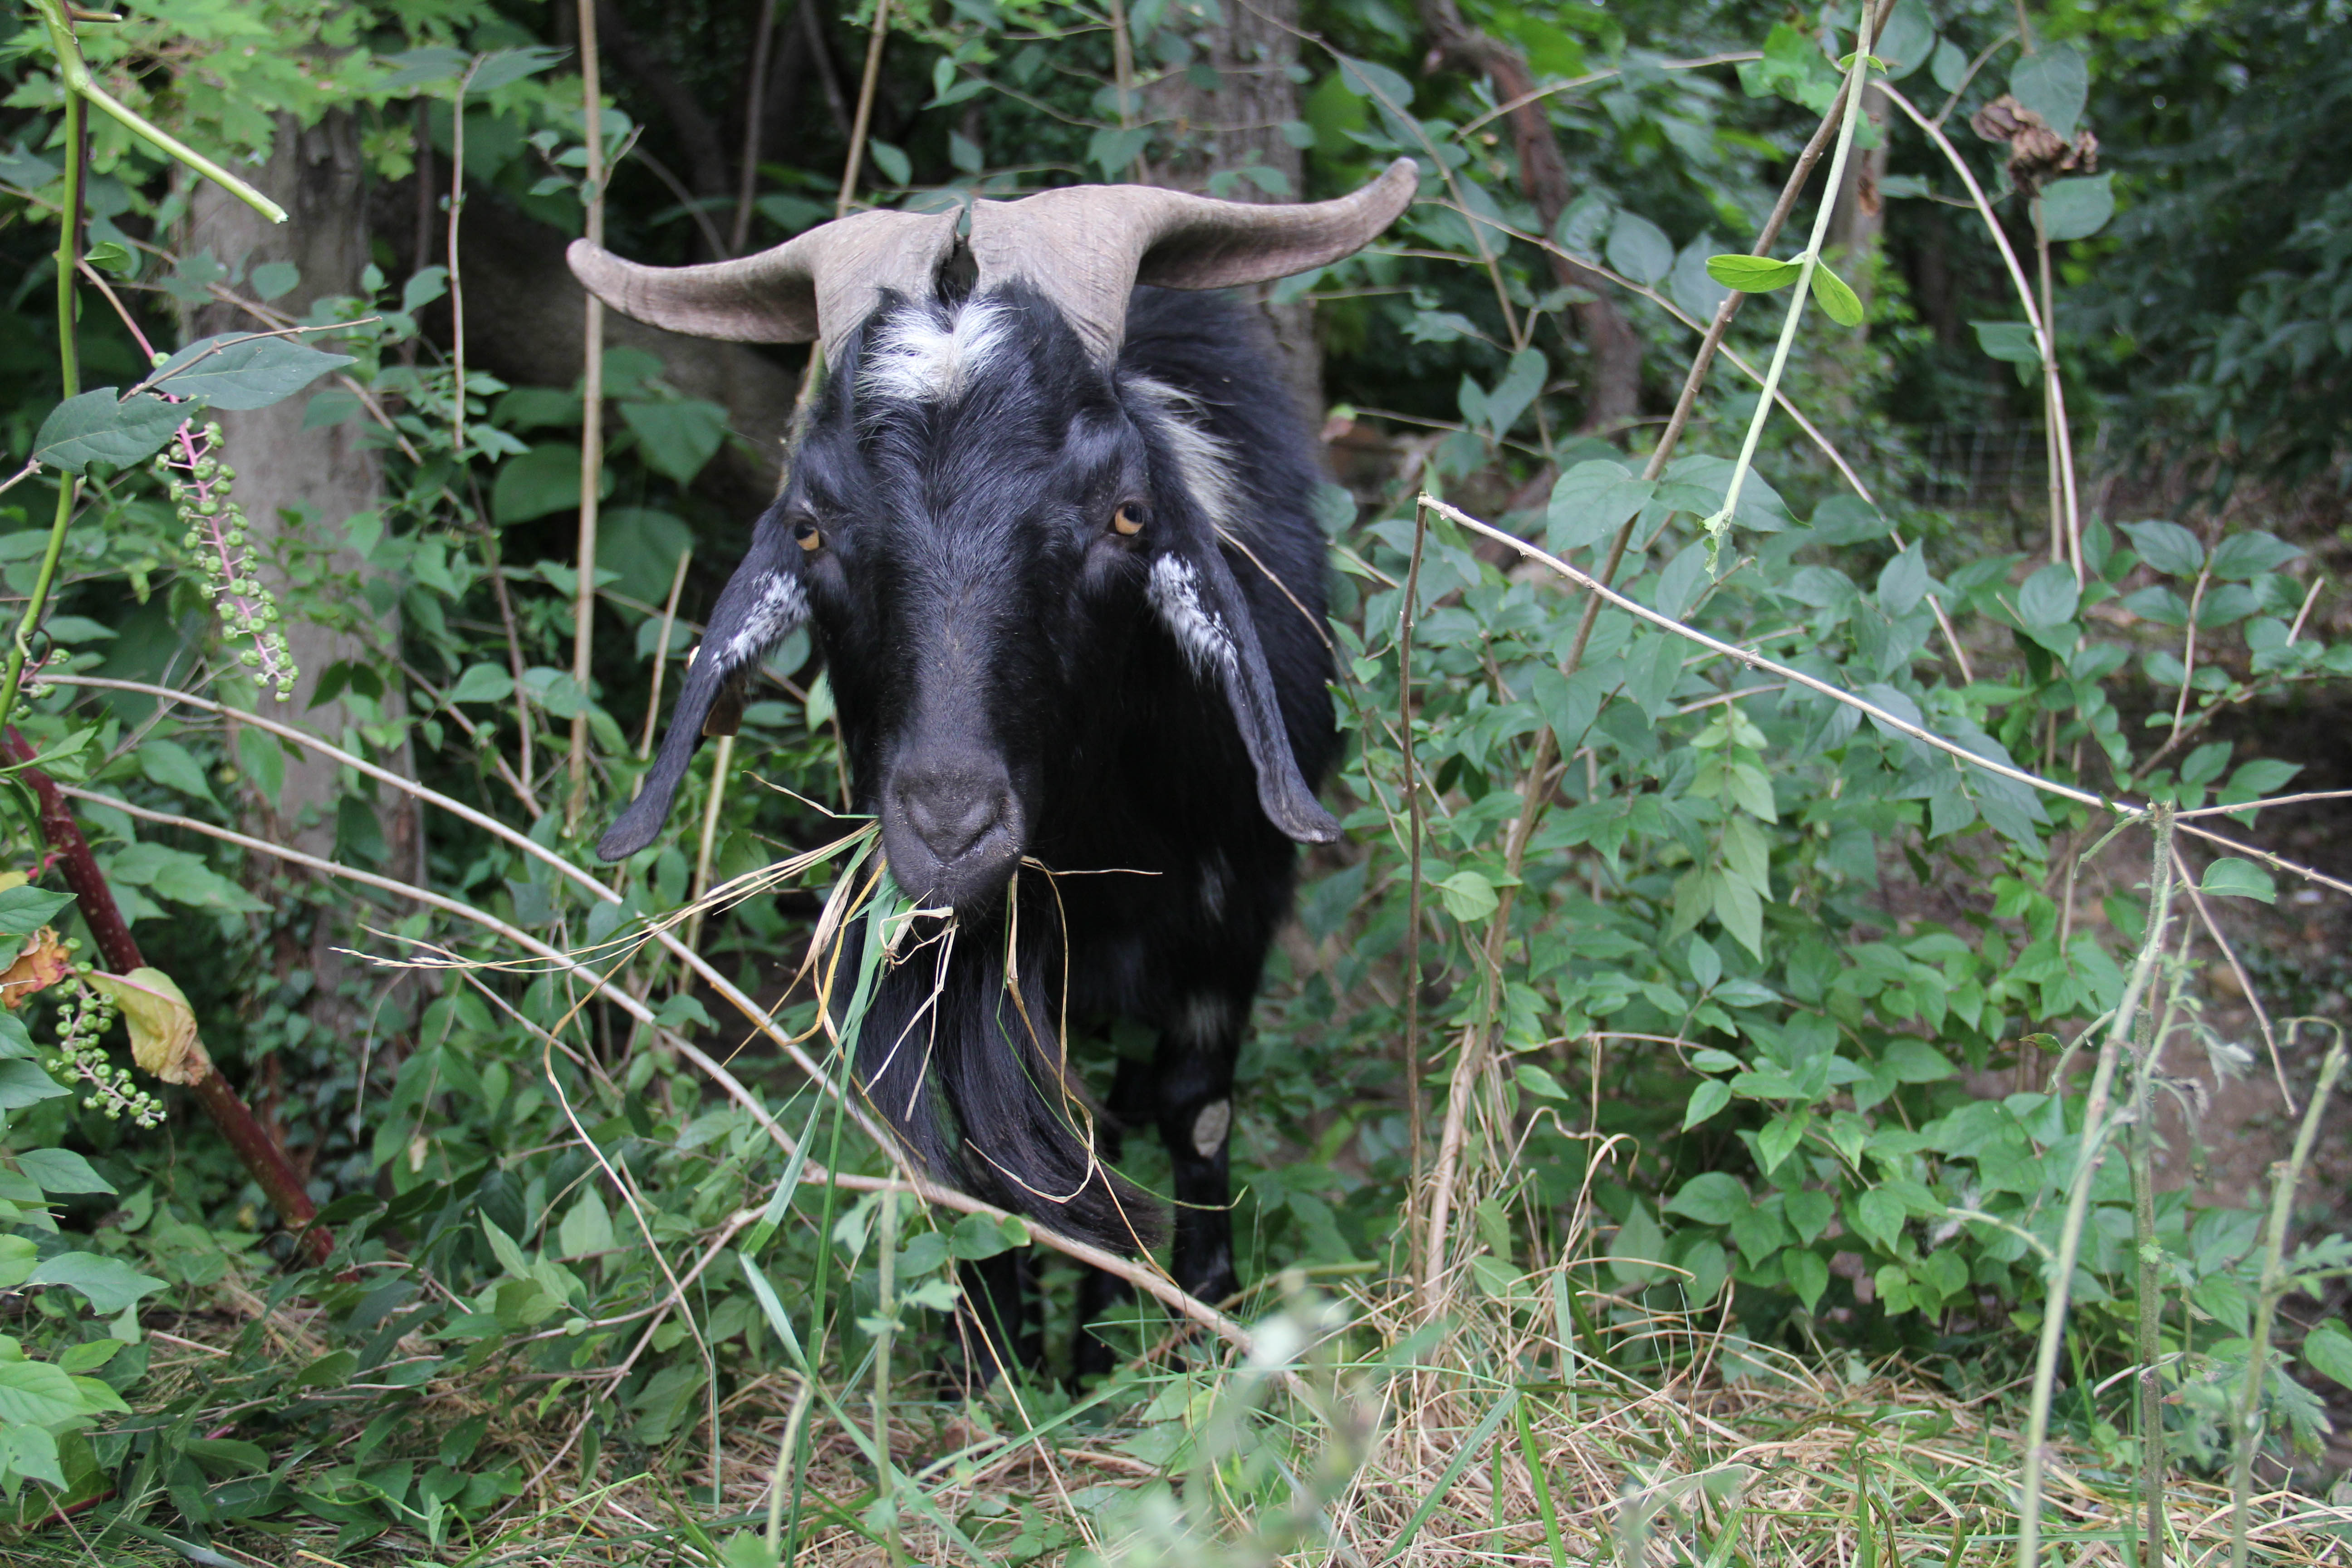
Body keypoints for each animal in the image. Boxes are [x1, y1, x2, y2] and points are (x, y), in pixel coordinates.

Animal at [569, 166, 1411, 1382]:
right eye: (810, 528)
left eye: (1125, 513)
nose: (949, 829)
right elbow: (986, 1155)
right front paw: (995, 1364)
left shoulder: (1236, 915)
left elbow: (1193, 1110)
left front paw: (1187, 1326)